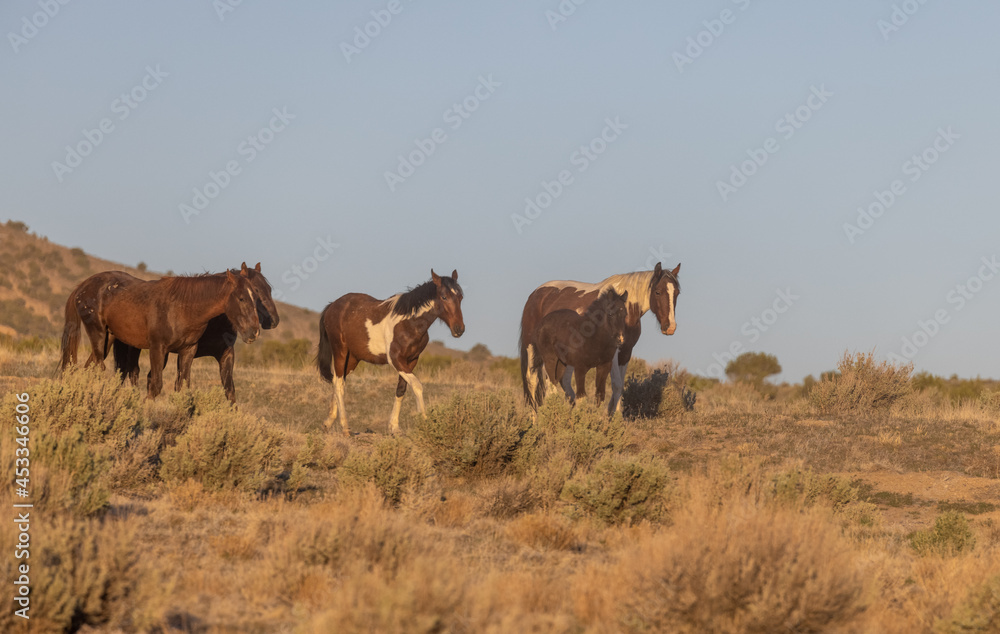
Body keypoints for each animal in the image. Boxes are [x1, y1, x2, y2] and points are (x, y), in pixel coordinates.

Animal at [60, 263, 279, 402]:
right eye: (243, 298)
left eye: (265, 291)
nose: (254, 331)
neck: (182, 307)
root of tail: (83, 287)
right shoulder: (158, 349)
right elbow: (155, 385)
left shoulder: (189, 351)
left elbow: (185, 387)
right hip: (98, 335)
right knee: (100, 368)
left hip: (111, 339)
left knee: (92, 367)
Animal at [317, 269, 465, 437]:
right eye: (444, 297)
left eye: (460, 297)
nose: (459, 329)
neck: (409, 323)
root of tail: (332, 306)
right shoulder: (396, 360)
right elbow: (417, 385)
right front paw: (426, 422)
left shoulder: (411, 360)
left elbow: (401, 389)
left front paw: (394, 427)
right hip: (340, 351)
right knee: (338, 383)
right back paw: (345, 427)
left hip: (353, 359)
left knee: (338, 381)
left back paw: (328, 423)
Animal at [519, 262, 681, 413]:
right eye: (658, 292)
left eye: (677, 293)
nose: (670, 327)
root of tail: (536, 293)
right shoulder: (613, 352)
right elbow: (615, 384)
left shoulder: (626, 352)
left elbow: (618, 387)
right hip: (531, 347)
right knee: (532, 380)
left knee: (561, 382)